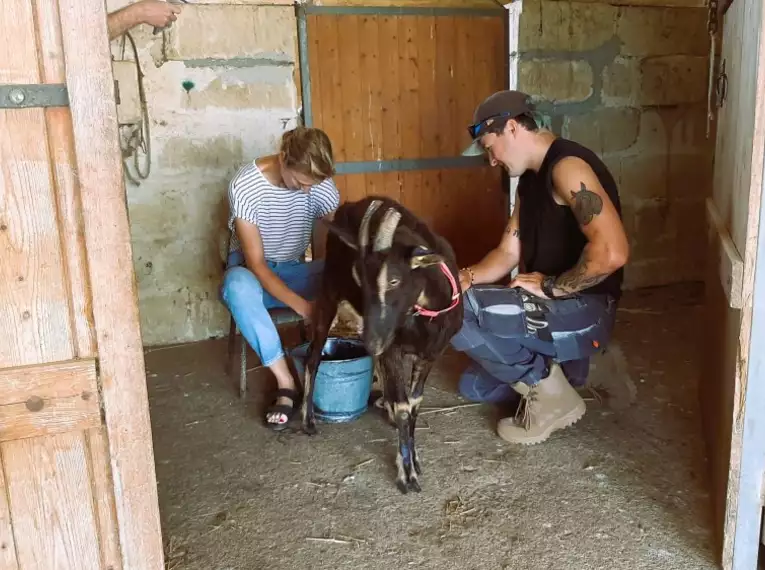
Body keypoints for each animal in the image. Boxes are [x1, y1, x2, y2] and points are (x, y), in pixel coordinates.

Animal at [300, 194, 466, 488]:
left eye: (394, 280)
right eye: (359, 278)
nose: (371, 340)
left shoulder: (431, 354)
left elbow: (414, 402)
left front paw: (414, 459)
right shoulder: (393, 348)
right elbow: (403, 406)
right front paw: (407, 473)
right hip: (329, 291)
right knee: (313, 355)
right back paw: (308, 421)